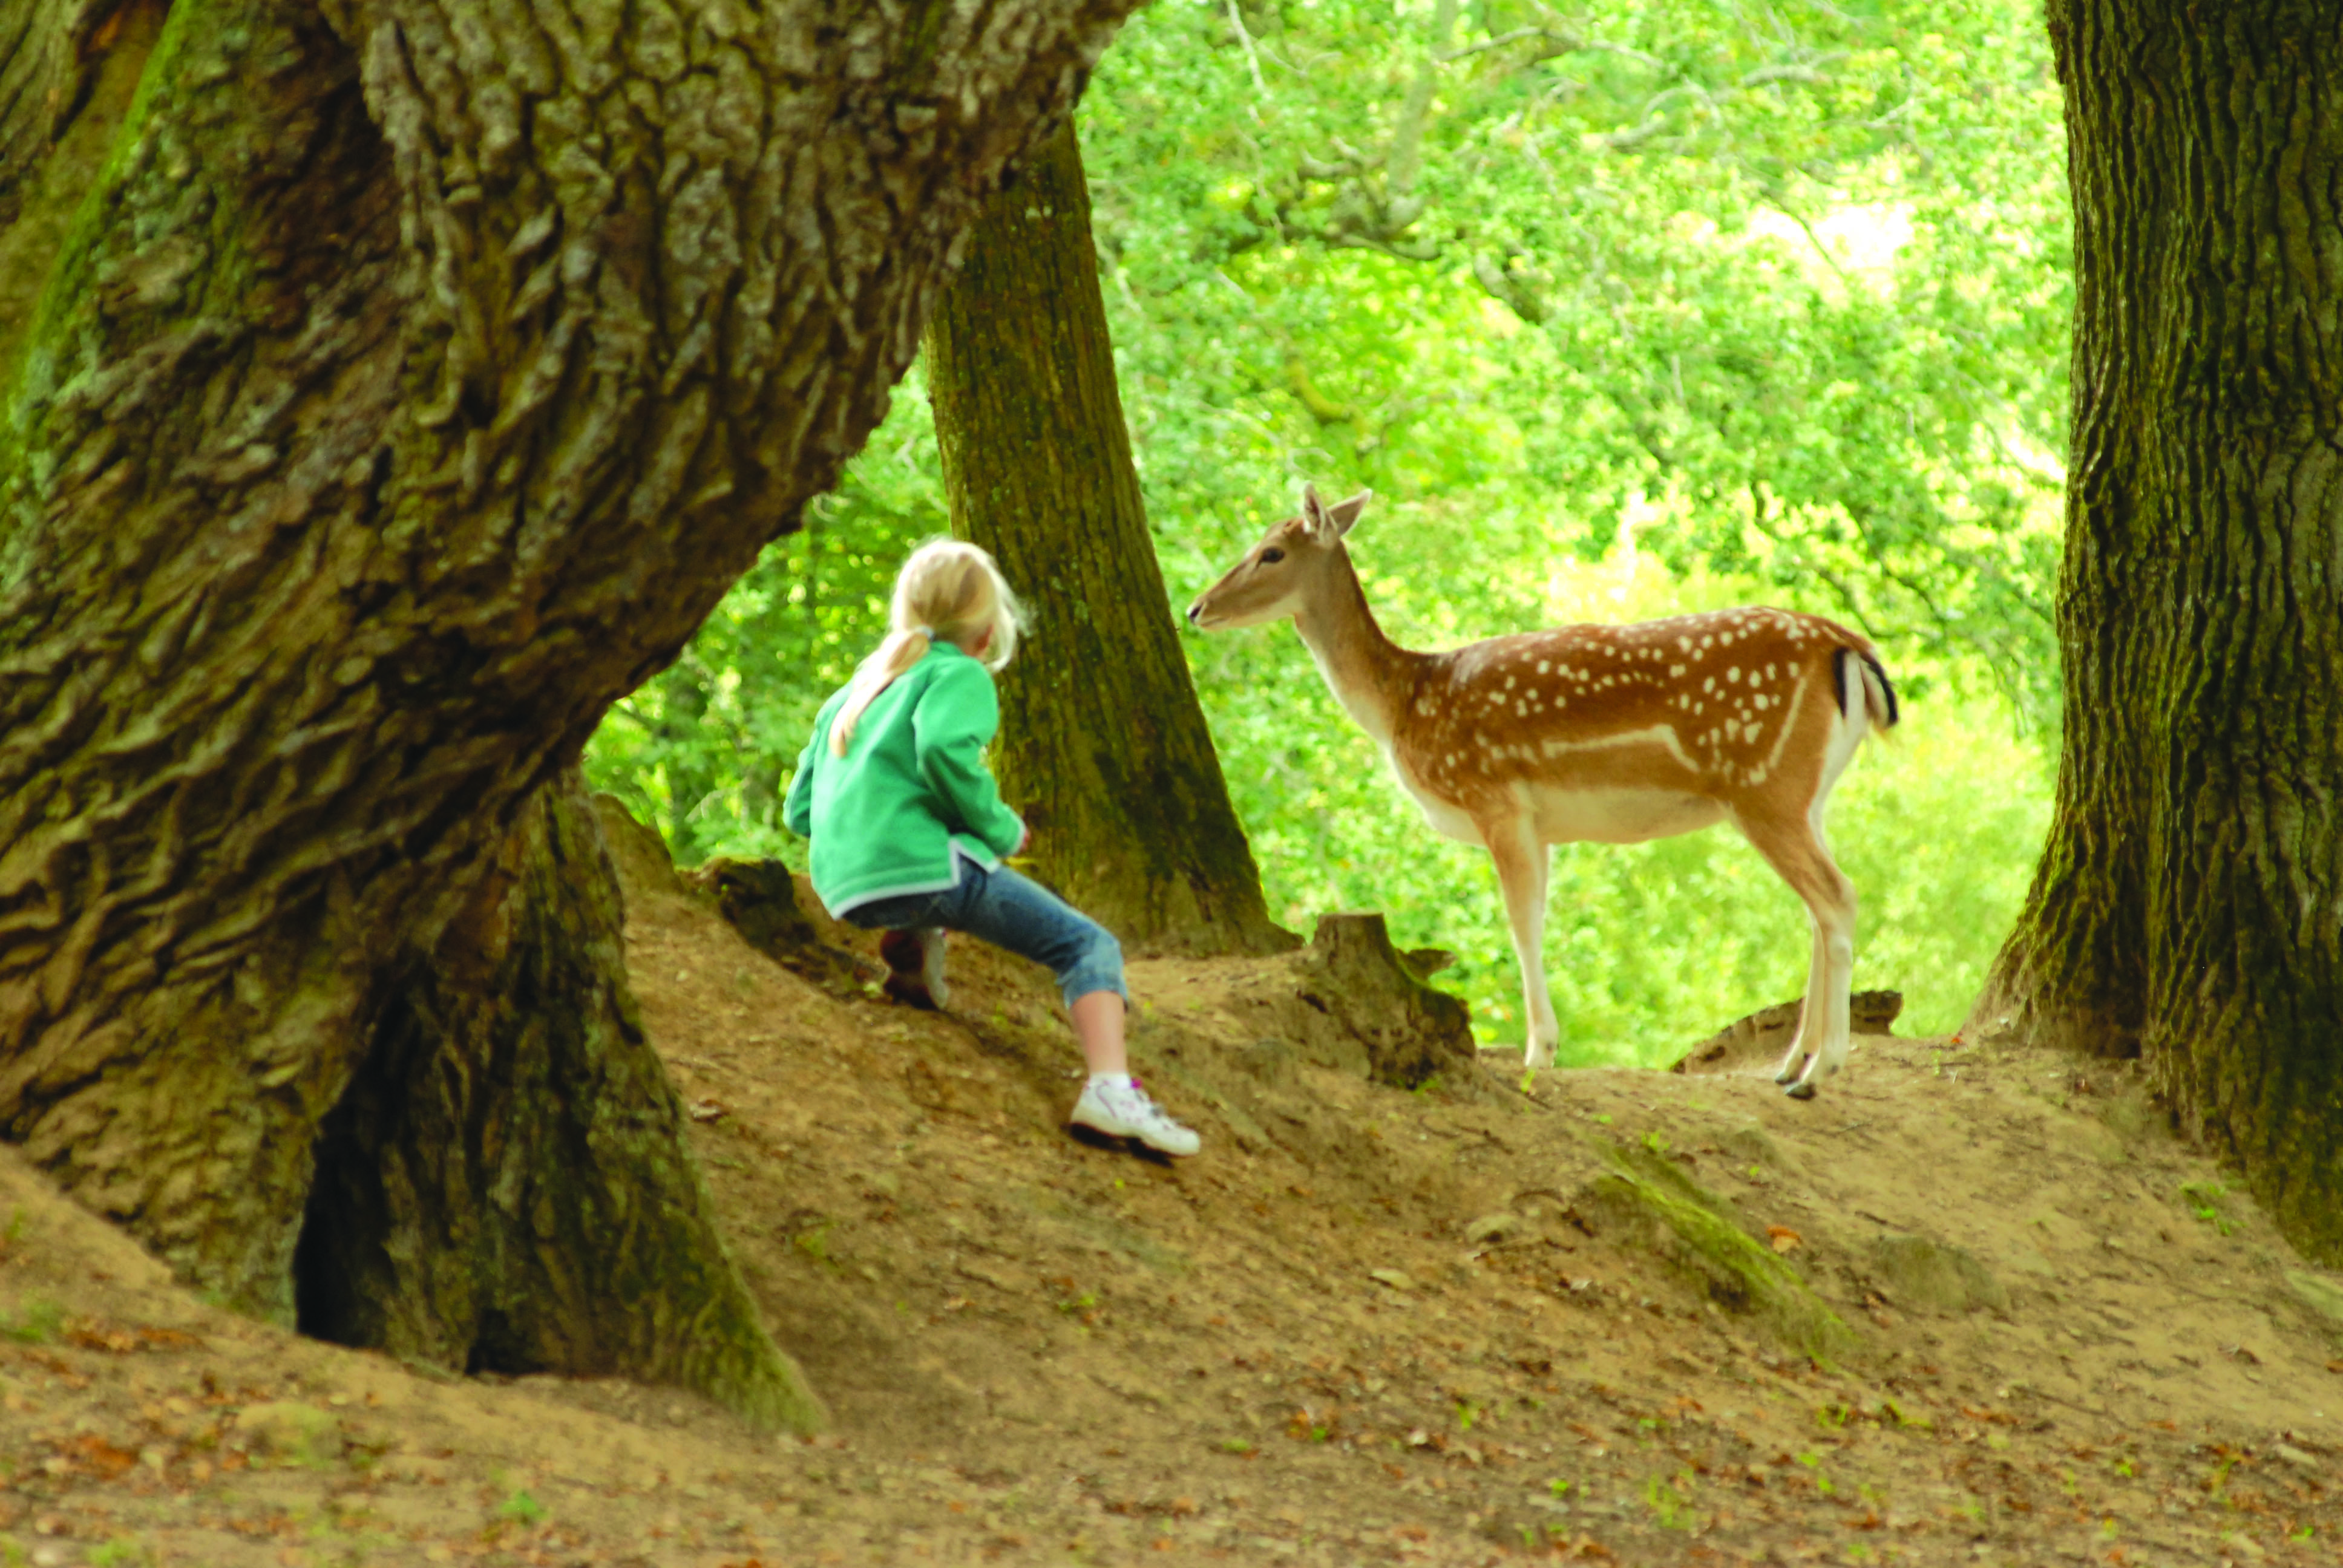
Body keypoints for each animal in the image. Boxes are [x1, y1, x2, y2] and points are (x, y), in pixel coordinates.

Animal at [1190, 483, 1902, 1097]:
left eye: (1271, 551)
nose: (1196, 608)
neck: (1402, 706)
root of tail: (1850, 646)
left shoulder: (1494, 797)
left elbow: (1520, 924)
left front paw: (1539, 1053)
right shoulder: (1541, 824)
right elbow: (1536, 918)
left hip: (1762, 785)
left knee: (1836, 896)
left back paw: (1820, 1070)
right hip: (1804, 792)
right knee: (1819, 907)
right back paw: (1790, 1064)